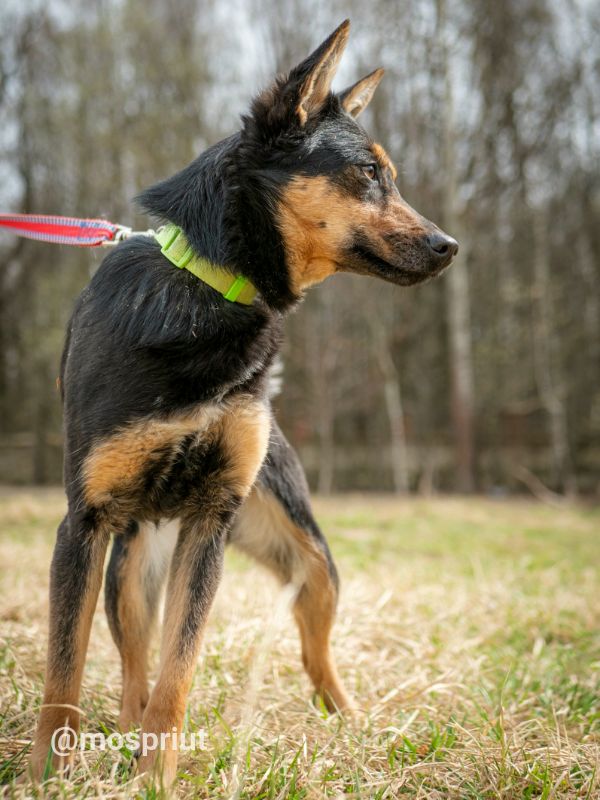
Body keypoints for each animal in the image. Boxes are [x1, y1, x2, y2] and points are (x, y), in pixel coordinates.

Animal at [30, 20, 458, 788]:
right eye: (368, 173)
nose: (450, 246)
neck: (210, 287)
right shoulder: (85, 523)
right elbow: (65, 673)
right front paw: (46, 775)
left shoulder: (211, 522)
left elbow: (179, 674)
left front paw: (157, 780)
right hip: (130, 565)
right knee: (133, 662)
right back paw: (125, 729)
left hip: (310, 562)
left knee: (316, 658)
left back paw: (352, 725)